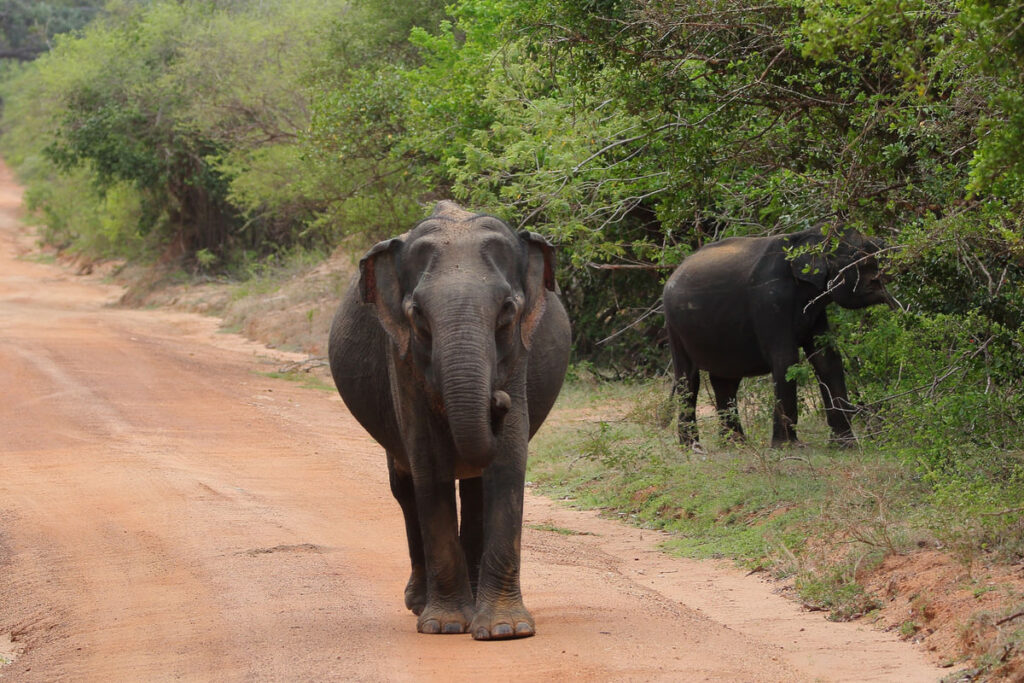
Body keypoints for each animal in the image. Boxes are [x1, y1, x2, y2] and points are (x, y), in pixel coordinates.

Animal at [328, 201, 571, 640]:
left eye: (508, 311)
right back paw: (421, 604)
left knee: (474, 490)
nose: (497, 399)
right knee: (405, 487)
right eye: (418, 315)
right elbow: (429, 464)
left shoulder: (518, 355)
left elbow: (508, 463)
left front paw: (506, 630)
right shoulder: (402, 359)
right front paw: (445, 626)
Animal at [662, 226, 895, 448]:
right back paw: (692, 447)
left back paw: (736, 444)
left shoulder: (816, 310)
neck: (806, 236)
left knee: (725, 381)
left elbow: (827, 360)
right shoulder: (769, 299)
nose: (894, 304)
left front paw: (845, 445)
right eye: (861, 254)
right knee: (688, 379)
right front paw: (787, 447)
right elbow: (786, 359)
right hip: (675, 327)